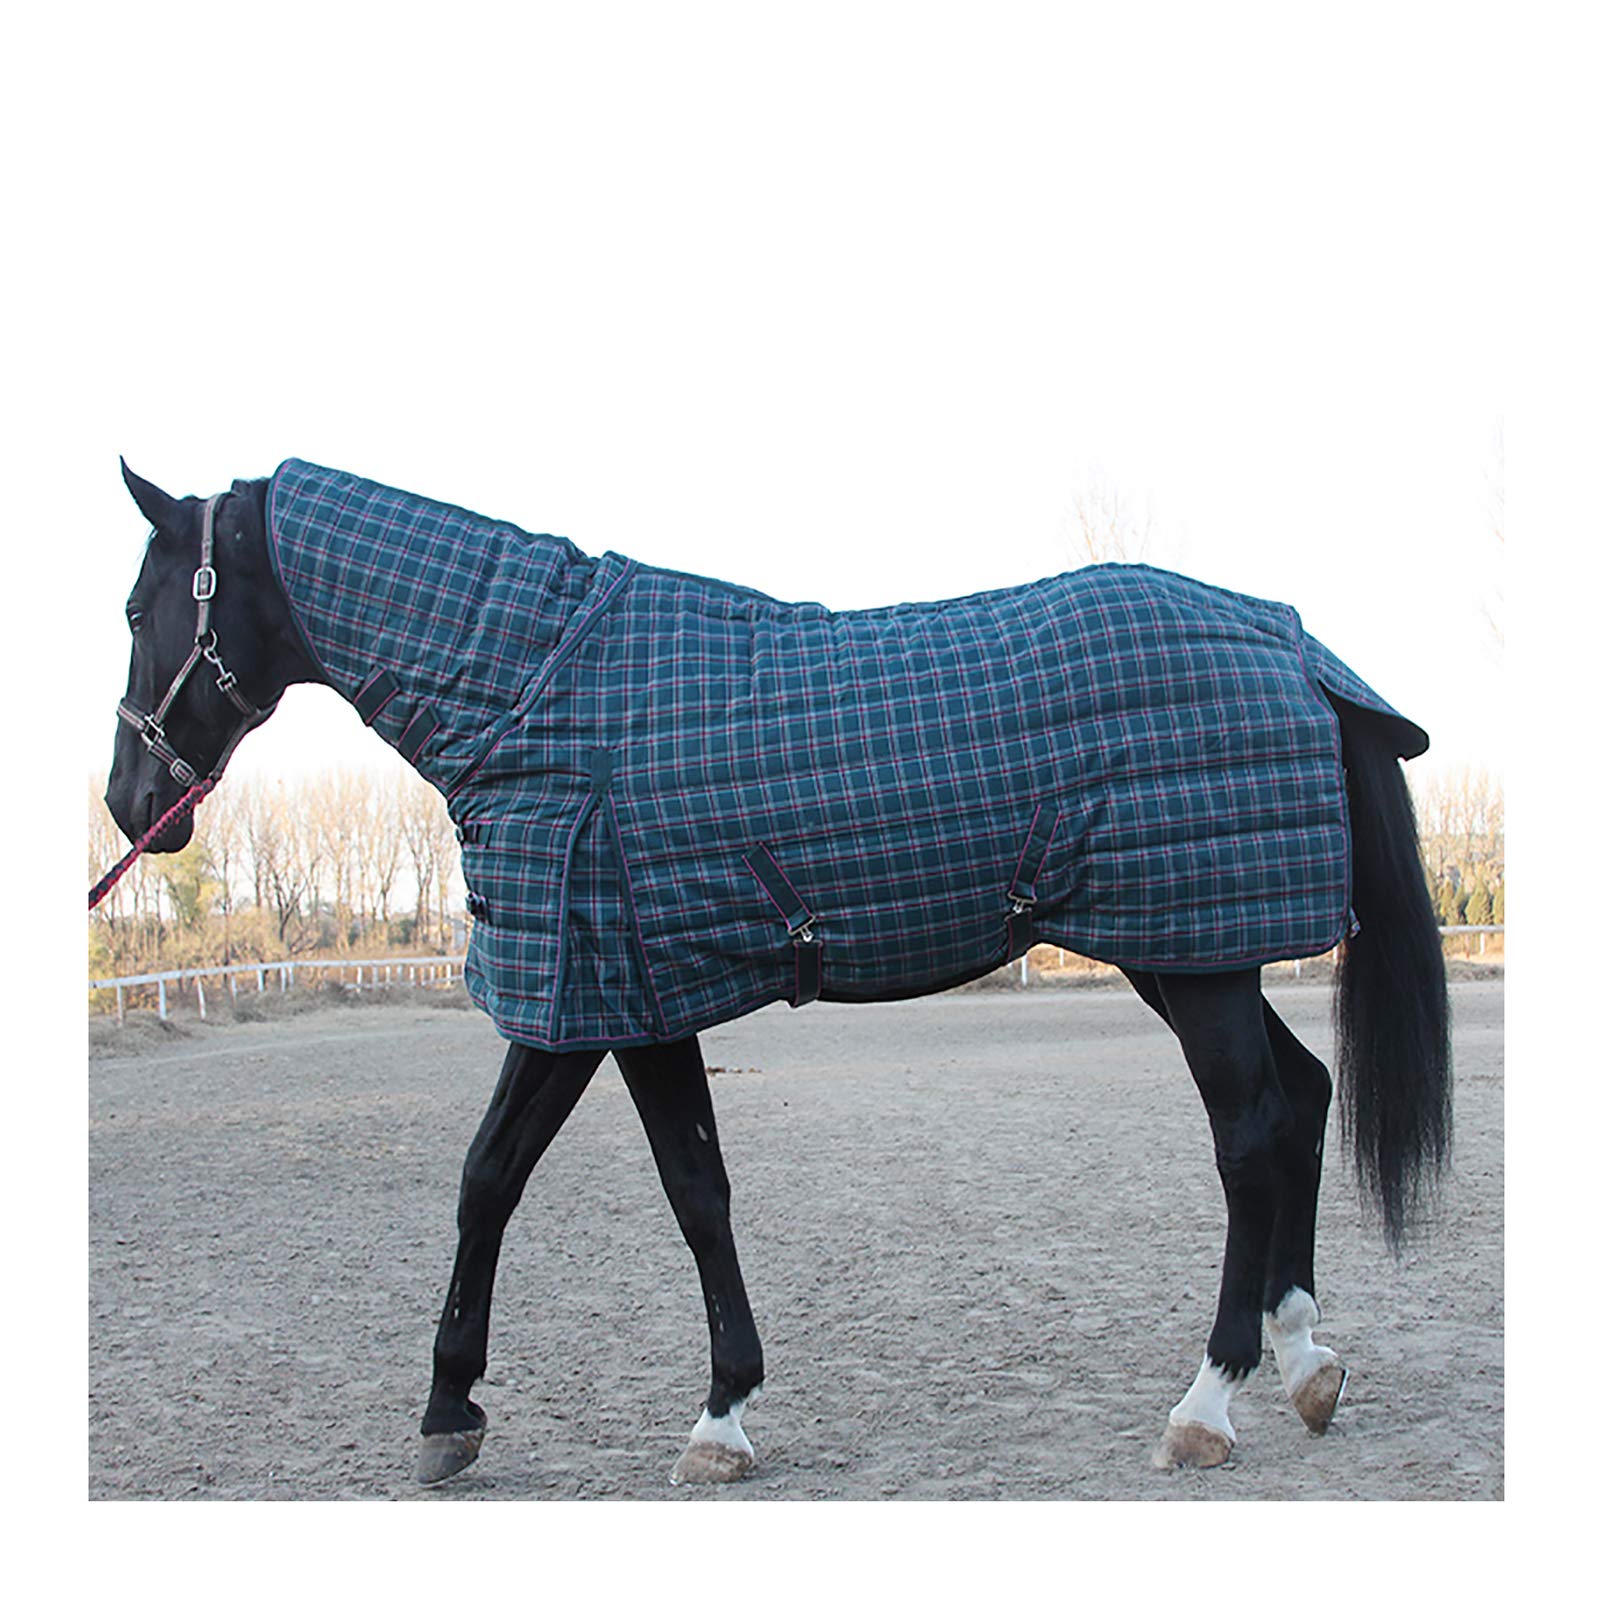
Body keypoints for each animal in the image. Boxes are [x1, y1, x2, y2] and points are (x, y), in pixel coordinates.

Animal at [101, 459, 1450, 1487]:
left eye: (133, 608)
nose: (130, 802)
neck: (538, 689)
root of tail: (1284, 641)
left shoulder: (608, 993)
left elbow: (684, 1193)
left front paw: (718, 1414)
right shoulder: (588, 992)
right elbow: (496, 1179)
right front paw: (450, 1416)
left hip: (1195, 953)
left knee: (1253, 1133)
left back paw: (1208, 1399)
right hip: (1190, 946)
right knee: (1303, 1098)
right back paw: (1304, 1359)